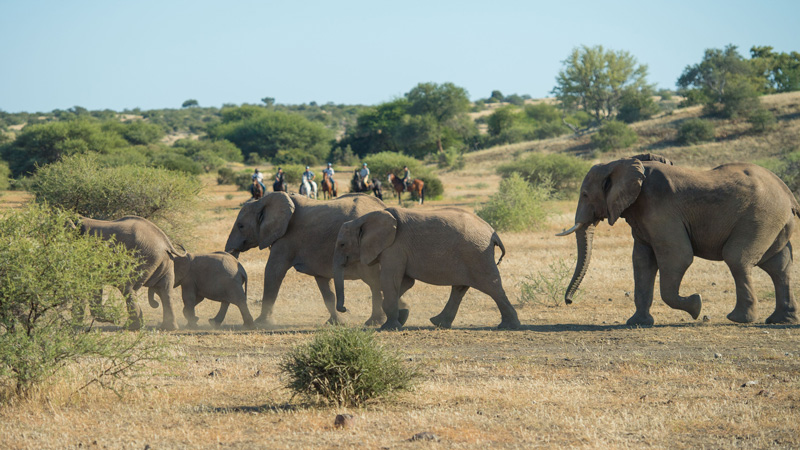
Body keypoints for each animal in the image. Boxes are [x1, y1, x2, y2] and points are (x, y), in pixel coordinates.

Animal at [223, 191, 412, 326]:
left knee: (374, 281)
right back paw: (397, 315)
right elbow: (324, 284)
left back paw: (384, 319)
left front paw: (261, 323)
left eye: (241, 226)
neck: (263, 201)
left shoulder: (287, 239)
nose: (345, 309)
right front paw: (335, 323)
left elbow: (273, 271)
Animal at [332, 207, 520, 330]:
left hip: (477, 254)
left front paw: (389, 327)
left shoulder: (394, 248)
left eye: (342, 244)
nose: (344, 309)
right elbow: (405, 282)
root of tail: (493, 232)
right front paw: (402, 315)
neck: (364, 219)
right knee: (460, 288)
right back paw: (439, 323)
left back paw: (509, 327)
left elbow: (389, 280)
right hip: (472, 255)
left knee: (492, 287)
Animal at [560, 153, 796, 326]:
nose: (568, 301)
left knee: (737, 258)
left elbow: (678, 257)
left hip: (761, 216)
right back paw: (781, 320)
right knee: (778, 265)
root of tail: (789, 194)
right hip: (774, 221)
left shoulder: (660, 209)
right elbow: (642, 262)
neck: (621, 162)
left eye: (585, 195)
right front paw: (637, 323)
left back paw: (739, 319)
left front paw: (696, 305)